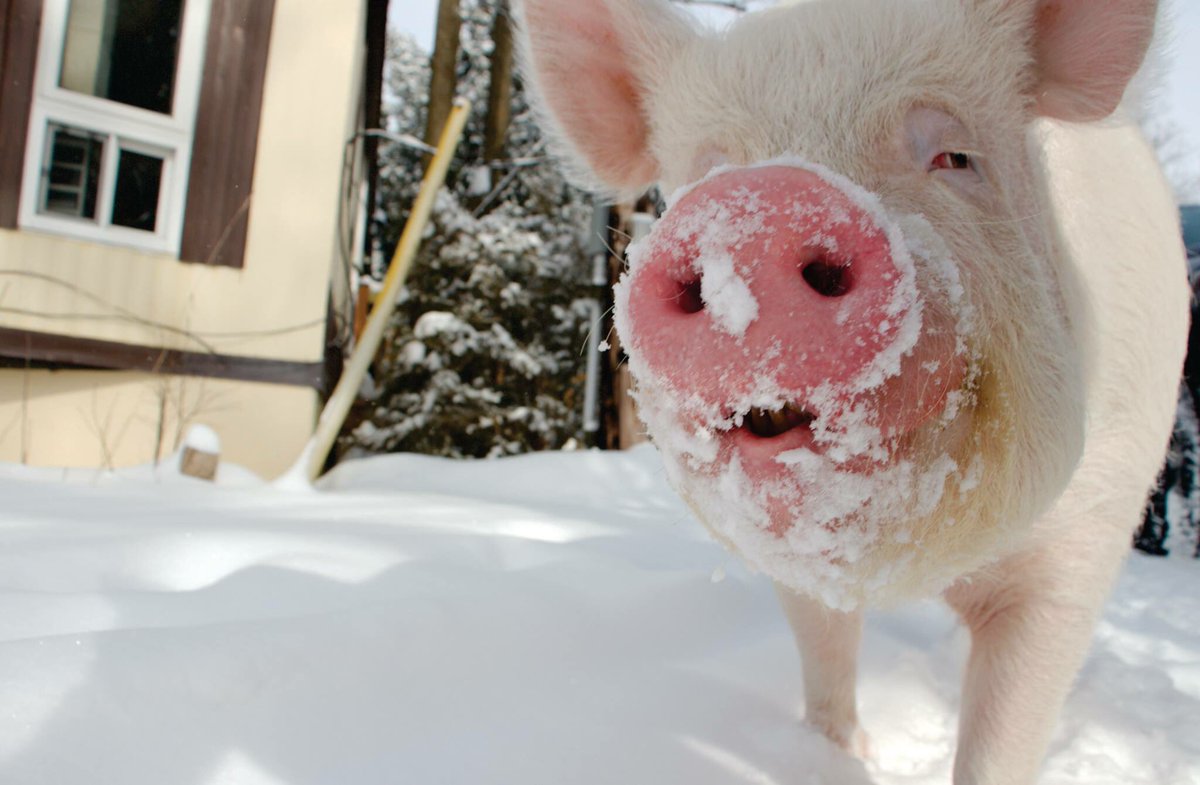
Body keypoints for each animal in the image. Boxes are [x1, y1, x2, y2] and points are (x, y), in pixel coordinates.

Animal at [513, 3, 1190, 782]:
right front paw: (840, 753)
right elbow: (825, 662)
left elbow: (1005, 732)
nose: (761, 202)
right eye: (702, 172)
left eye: (954, 156)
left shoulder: (1088, 533)